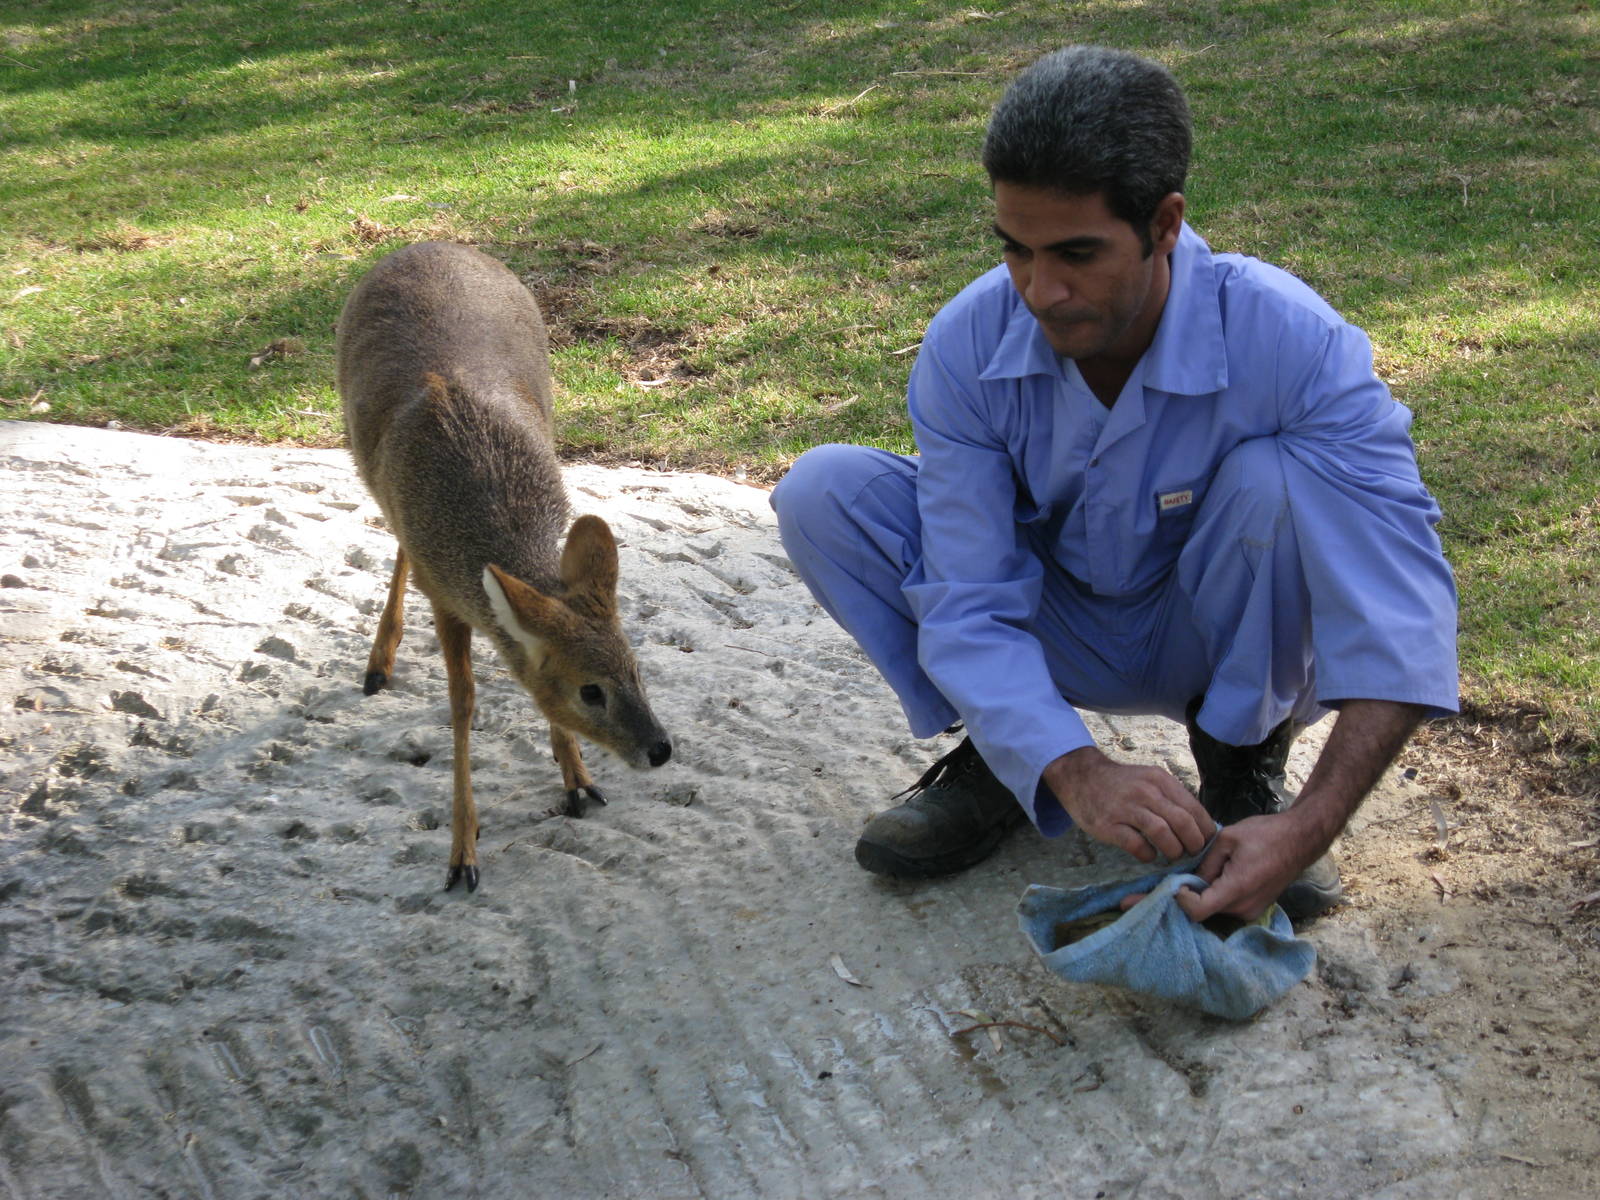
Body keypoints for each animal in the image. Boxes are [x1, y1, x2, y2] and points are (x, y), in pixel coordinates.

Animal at [336, 241, 672, 892]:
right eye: (590, 691)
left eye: (635, 667)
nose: (660, 749)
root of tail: (426, 244)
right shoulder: (445, 593)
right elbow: (463, 703)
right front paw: (461, 851)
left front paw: (578, 782)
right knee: (398, 546)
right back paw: (377, 664)